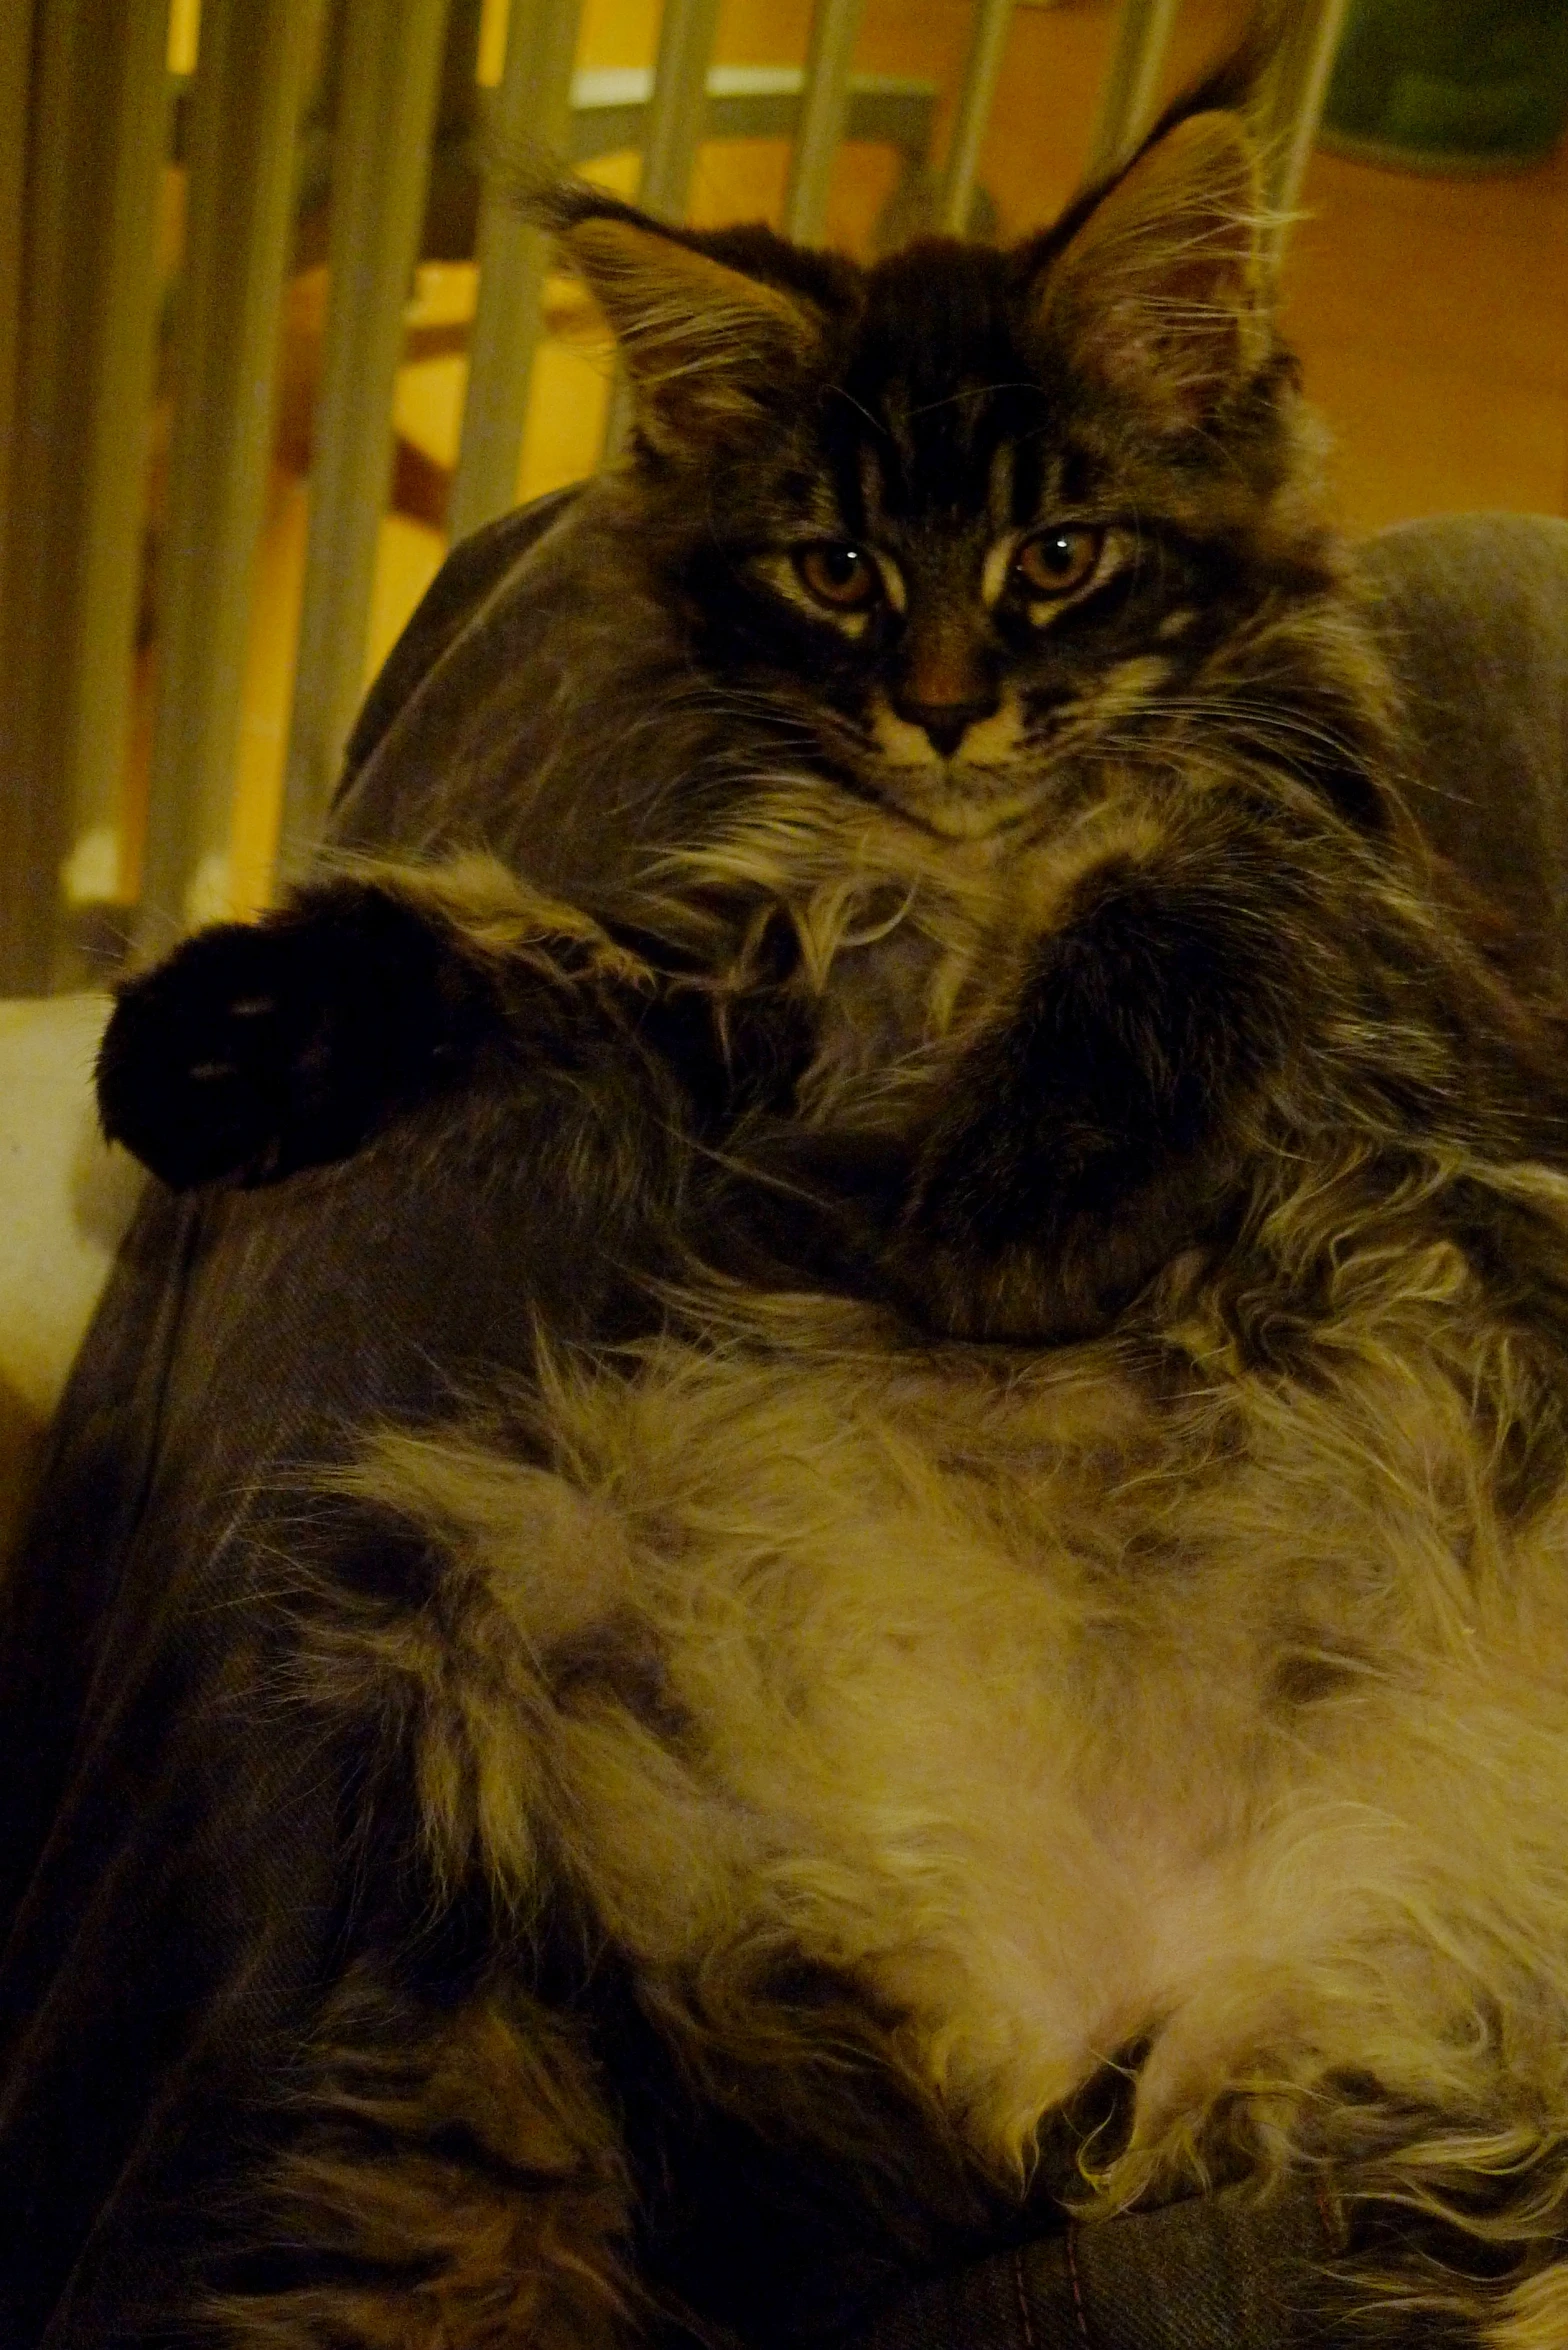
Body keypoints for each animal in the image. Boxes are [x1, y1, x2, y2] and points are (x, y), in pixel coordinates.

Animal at [101, 59, 1568, 2350]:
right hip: (504, 1622)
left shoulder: (1318, 873)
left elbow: (1160, 920)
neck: (970, 857)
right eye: (841, 567)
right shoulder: (769, 1016)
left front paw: (997, 1224)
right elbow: (504, 951)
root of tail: (1141, 1979)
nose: (948, 705)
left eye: (1059, 554)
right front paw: (230, 1038)